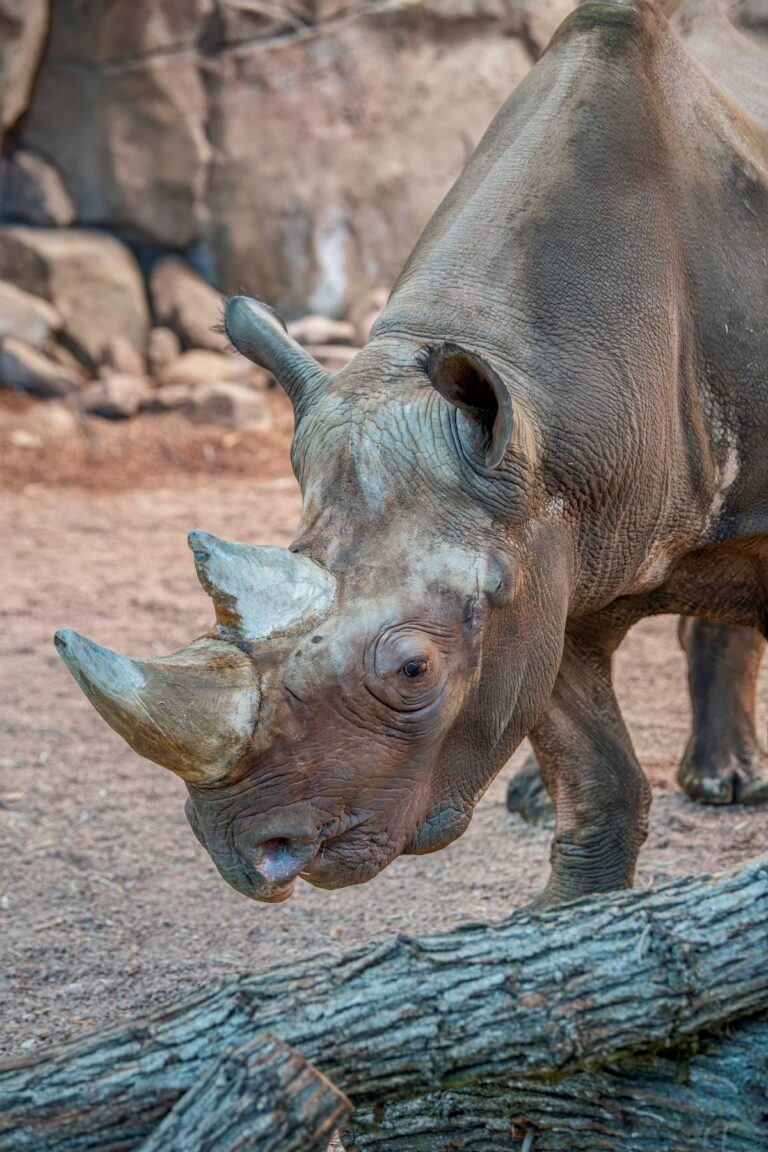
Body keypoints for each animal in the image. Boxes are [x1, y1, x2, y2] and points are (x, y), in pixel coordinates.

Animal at [56, 0, 768, 907]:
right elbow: (590, 762)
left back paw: (727, 784)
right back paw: (540, 799)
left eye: (414, 672)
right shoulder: (543, 540)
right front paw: (565, 916)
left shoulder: (529, 520)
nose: (239, 851)